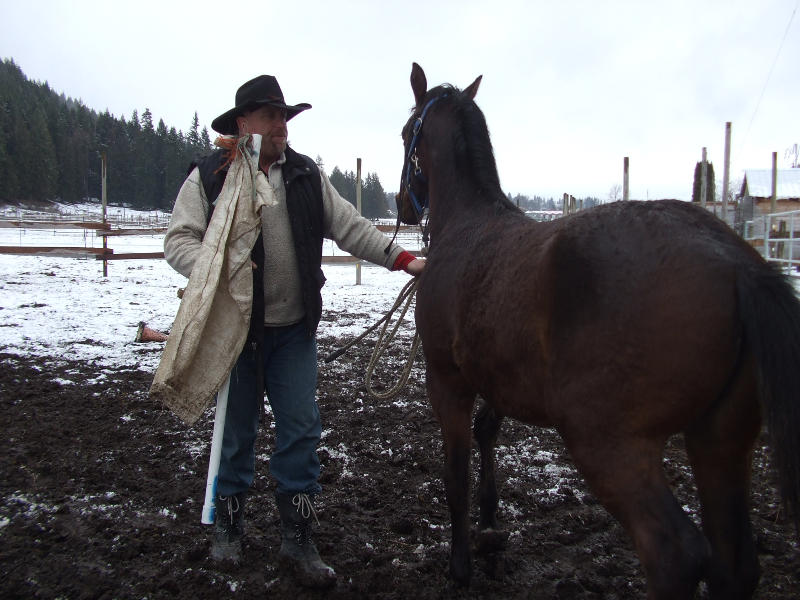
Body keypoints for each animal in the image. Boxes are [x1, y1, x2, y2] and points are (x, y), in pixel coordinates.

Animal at [398, 63, 800, 596]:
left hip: (608, 444)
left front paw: (461, 564)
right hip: (719, 440)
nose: (402, 206)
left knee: (674, 554)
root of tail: (736, 262)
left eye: (407, 132)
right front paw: (490, 529)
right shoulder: (498, 381)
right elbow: (486, 436)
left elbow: (455, 476)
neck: (467, 224)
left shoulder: (447, 382)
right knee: (734, 564)